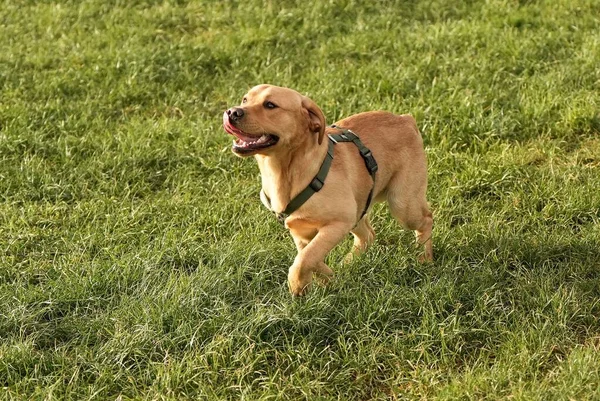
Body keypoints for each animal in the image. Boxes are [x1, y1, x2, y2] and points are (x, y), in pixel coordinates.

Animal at [220, 83, 432, 294]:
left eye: (270, 105)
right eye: (245, 100)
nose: (232, 112)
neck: (287, 172)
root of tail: (405, 119)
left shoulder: (339, 222)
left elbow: (304, 258)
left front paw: (297, 285)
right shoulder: (301, 231)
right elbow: (310, 256)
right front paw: (327, 279)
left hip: (402, 204)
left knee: (426, 219)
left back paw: (424, 257)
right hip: (359, 208)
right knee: (368, 235)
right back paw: (348, 263)